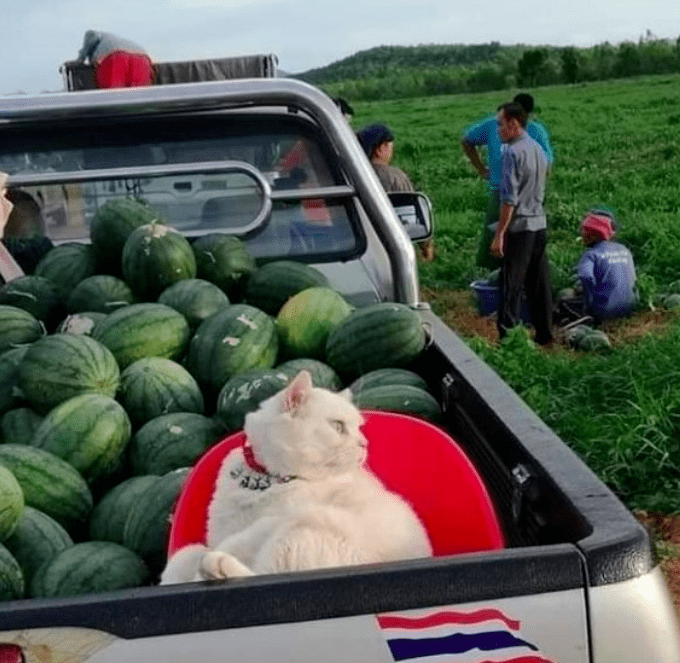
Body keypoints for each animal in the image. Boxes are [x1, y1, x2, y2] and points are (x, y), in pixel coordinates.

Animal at [161, 370, 430, 584]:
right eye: (338, 426)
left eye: (358, 427)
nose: (364, 443)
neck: (264, 481)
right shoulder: (219, 534)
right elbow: (185, 555)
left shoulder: (269, 523)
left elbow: (228, 545)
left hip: (306, 525)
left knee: (265, 575)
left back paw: (217, 566)